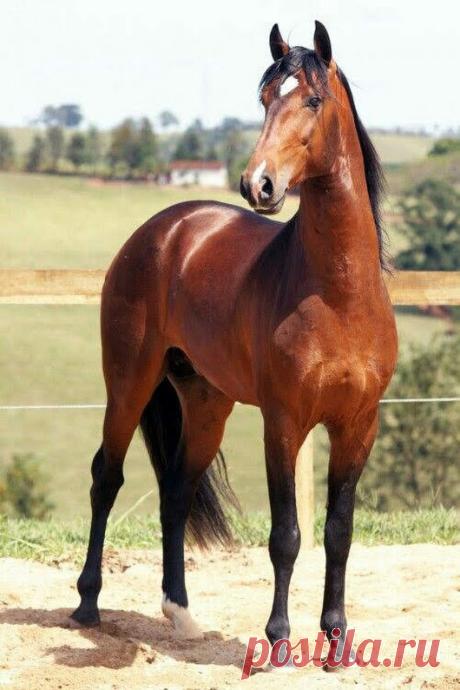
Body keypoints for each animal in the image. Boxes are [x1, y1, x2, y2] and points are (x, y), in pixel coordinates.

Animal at [71, 20, 398, 658]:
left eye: (313, 100)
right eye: (265, 98)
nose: (258, 184)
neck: (338, 295)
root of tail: (163, 230)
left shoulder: (358, 425)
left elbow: (338, 532)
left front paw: (335, 639)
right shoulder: (284, 422)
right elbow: (287, 535)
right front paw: (278, 639)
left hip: (205, 403)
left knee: (176, 491)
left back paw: (181, 616)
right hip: (129, 385)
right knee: (106, 478)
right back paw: (88, 604)